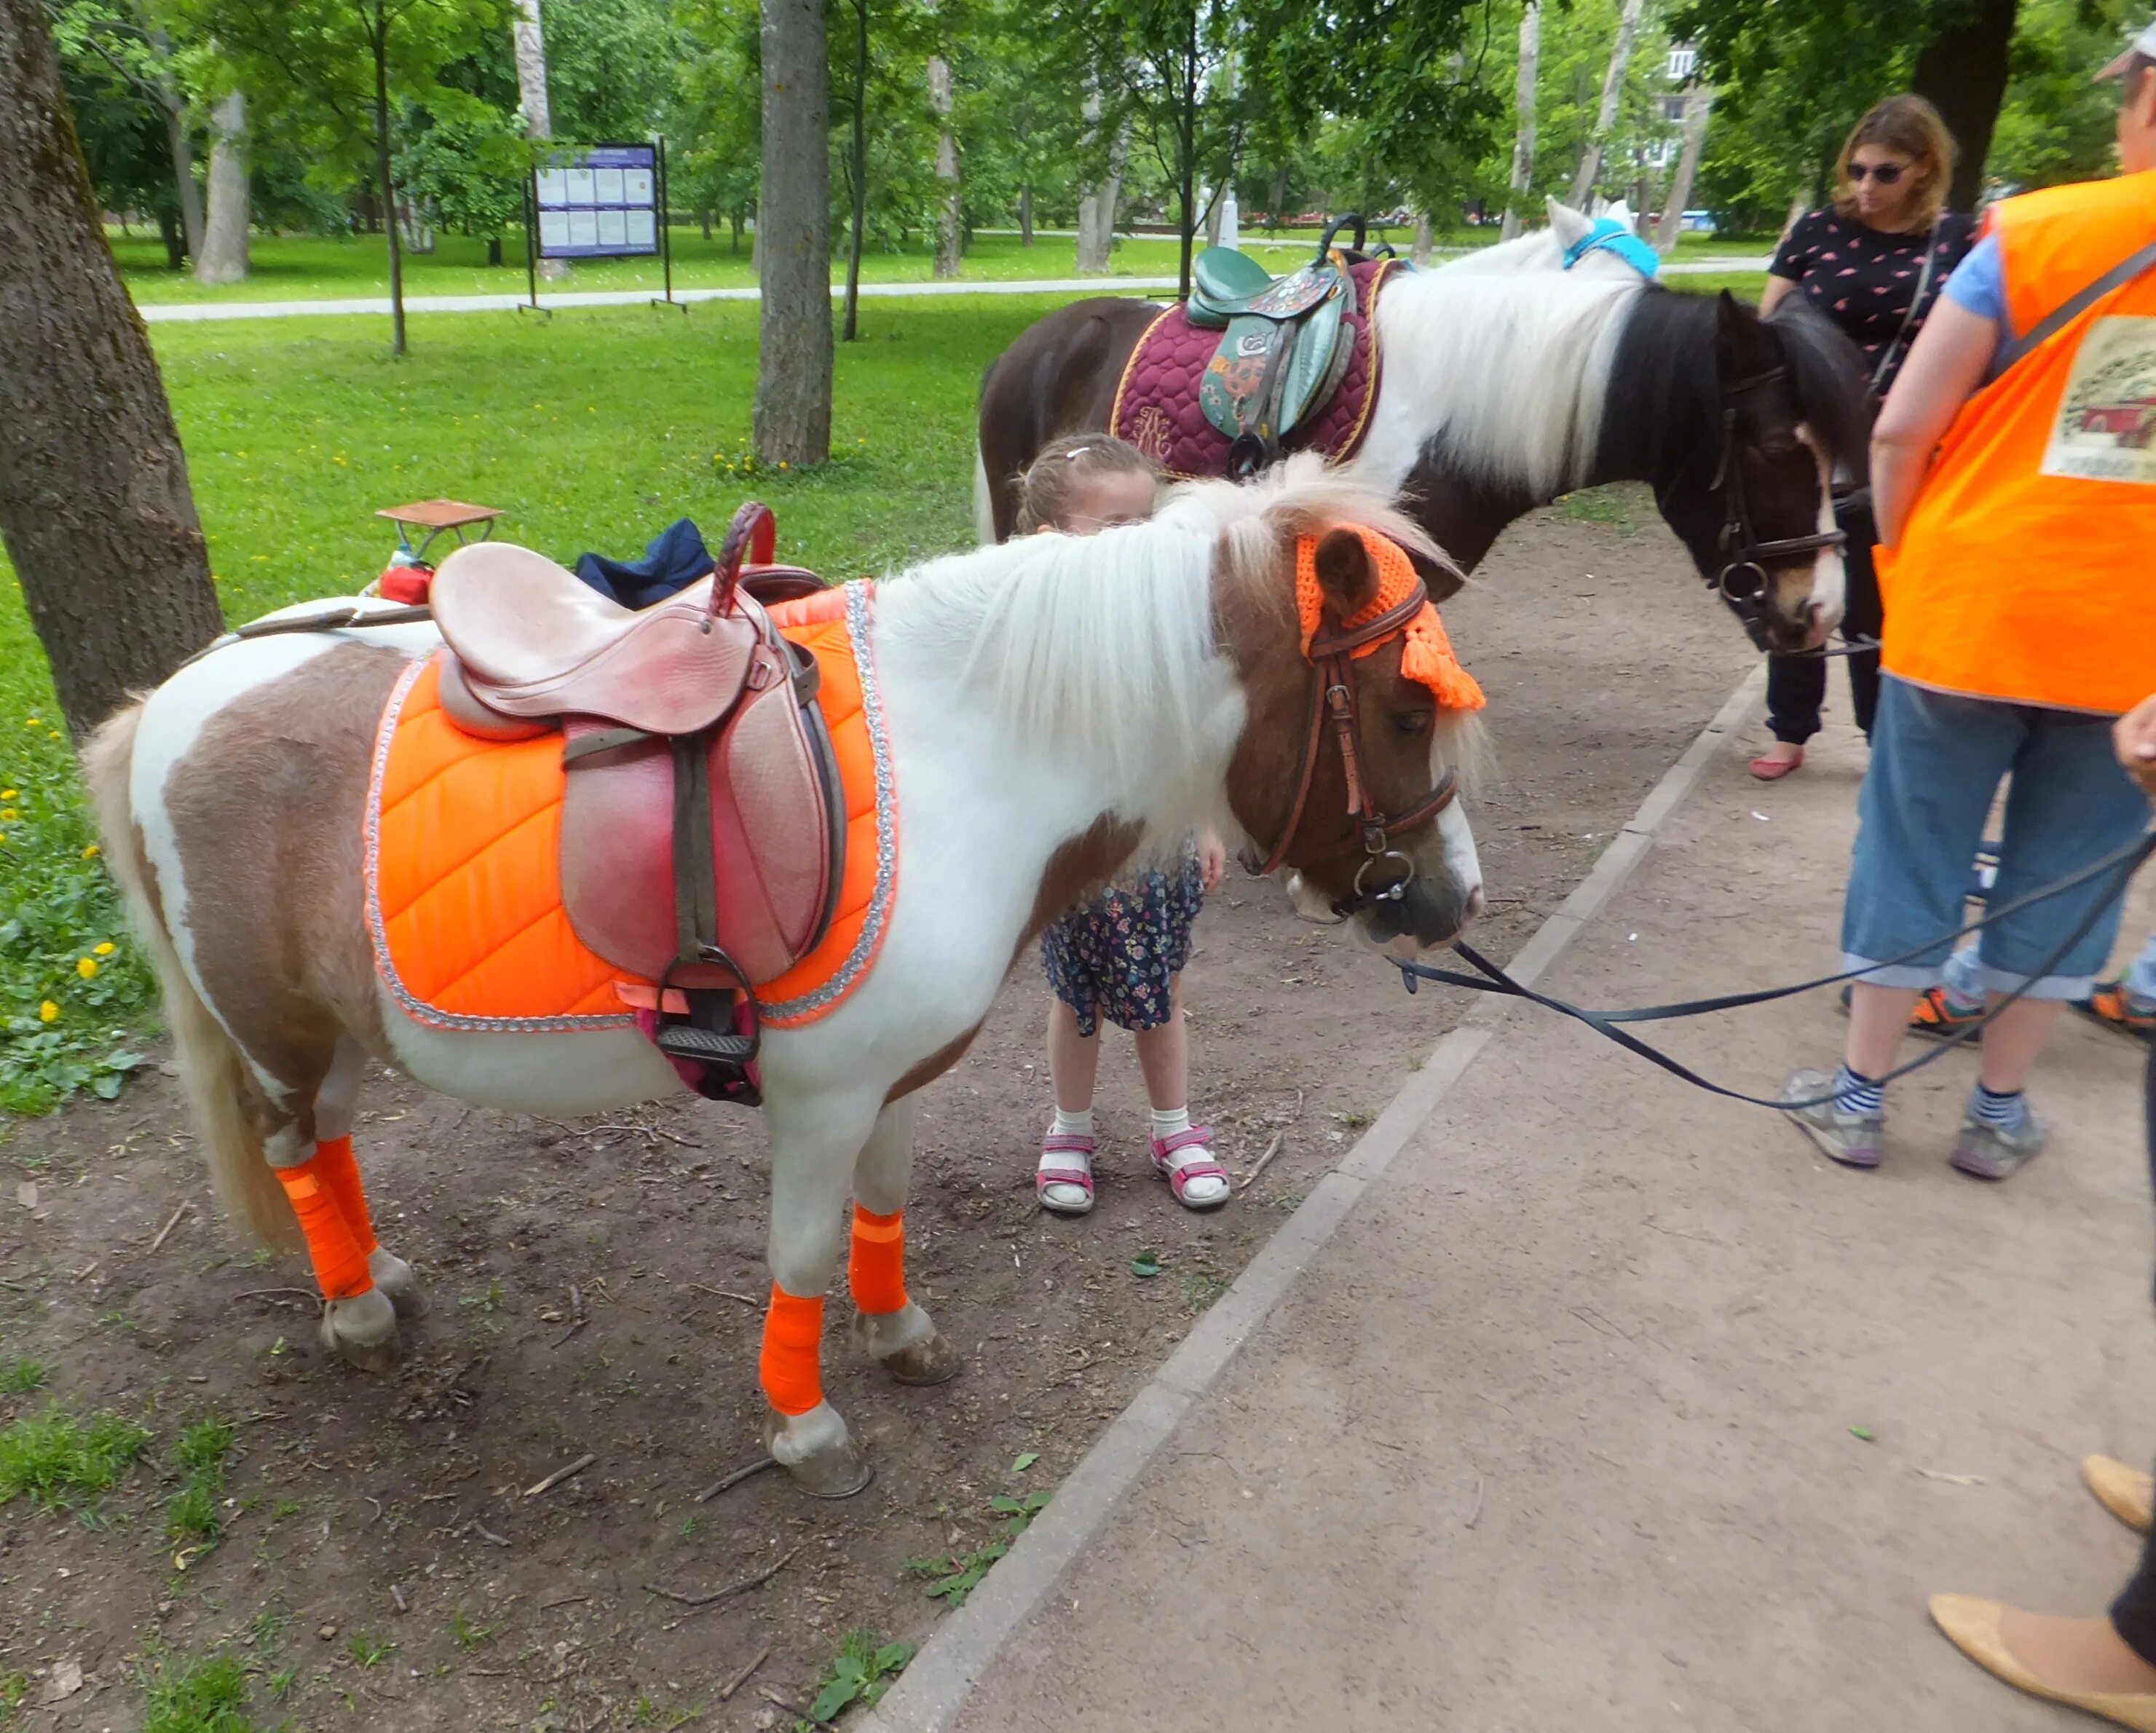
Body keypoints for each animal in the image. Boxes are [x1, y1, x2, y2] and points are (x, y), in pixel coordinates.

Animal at [71, 467, 1483, 1500]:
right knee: (295, 1149)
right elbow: (801, 1248)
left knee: (333, 1143)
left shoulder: (893, 1084)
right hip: (276, 1032)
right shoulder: (820, 1100)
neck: (964, 749)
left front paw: (899, 1337)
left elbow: (881, 1212)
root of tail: (176, 695)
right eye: (1404, 708)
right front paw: (801, 1425)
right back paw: (358, 1311)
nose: (1451, 900)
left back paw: (378, 1274)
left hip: (335, 1029)